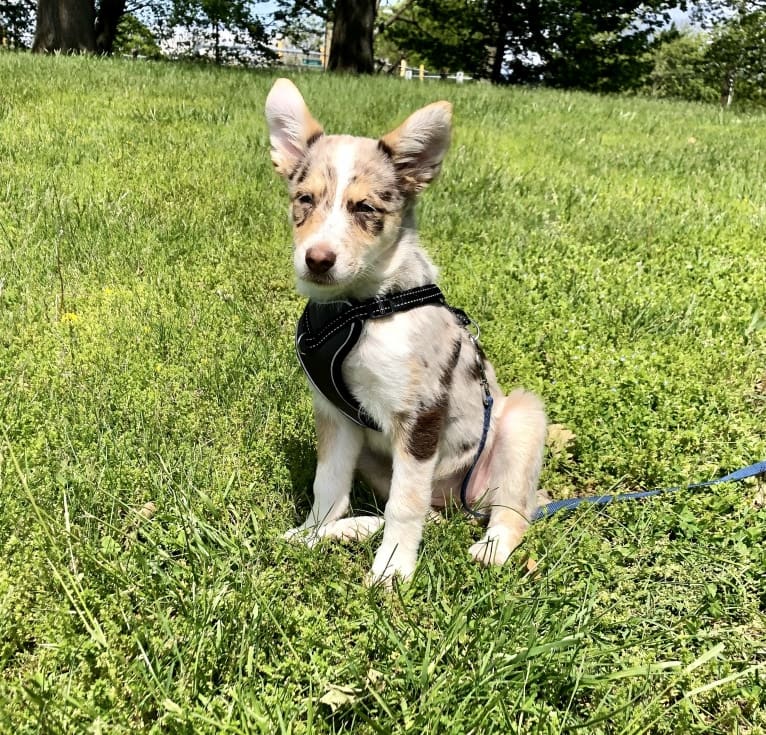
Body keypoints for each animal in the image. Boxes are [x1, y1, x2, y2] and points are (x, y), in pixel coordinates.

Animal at [268, 79, 548, 588]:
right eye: (305, 200)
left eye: (365, 208)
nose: (317, 260)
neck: (359, 312)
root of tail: (458, 505)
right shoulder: (334, 414)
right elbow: (328, 484)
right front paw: (312, 534)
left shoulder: (420, 416)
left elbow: (406, 501)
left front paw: (393, 567)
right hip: (374, 457)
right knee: (424, 514)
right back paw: (355, 528)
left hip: (522, 421)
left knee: (510, 512)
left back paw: (491, 548)